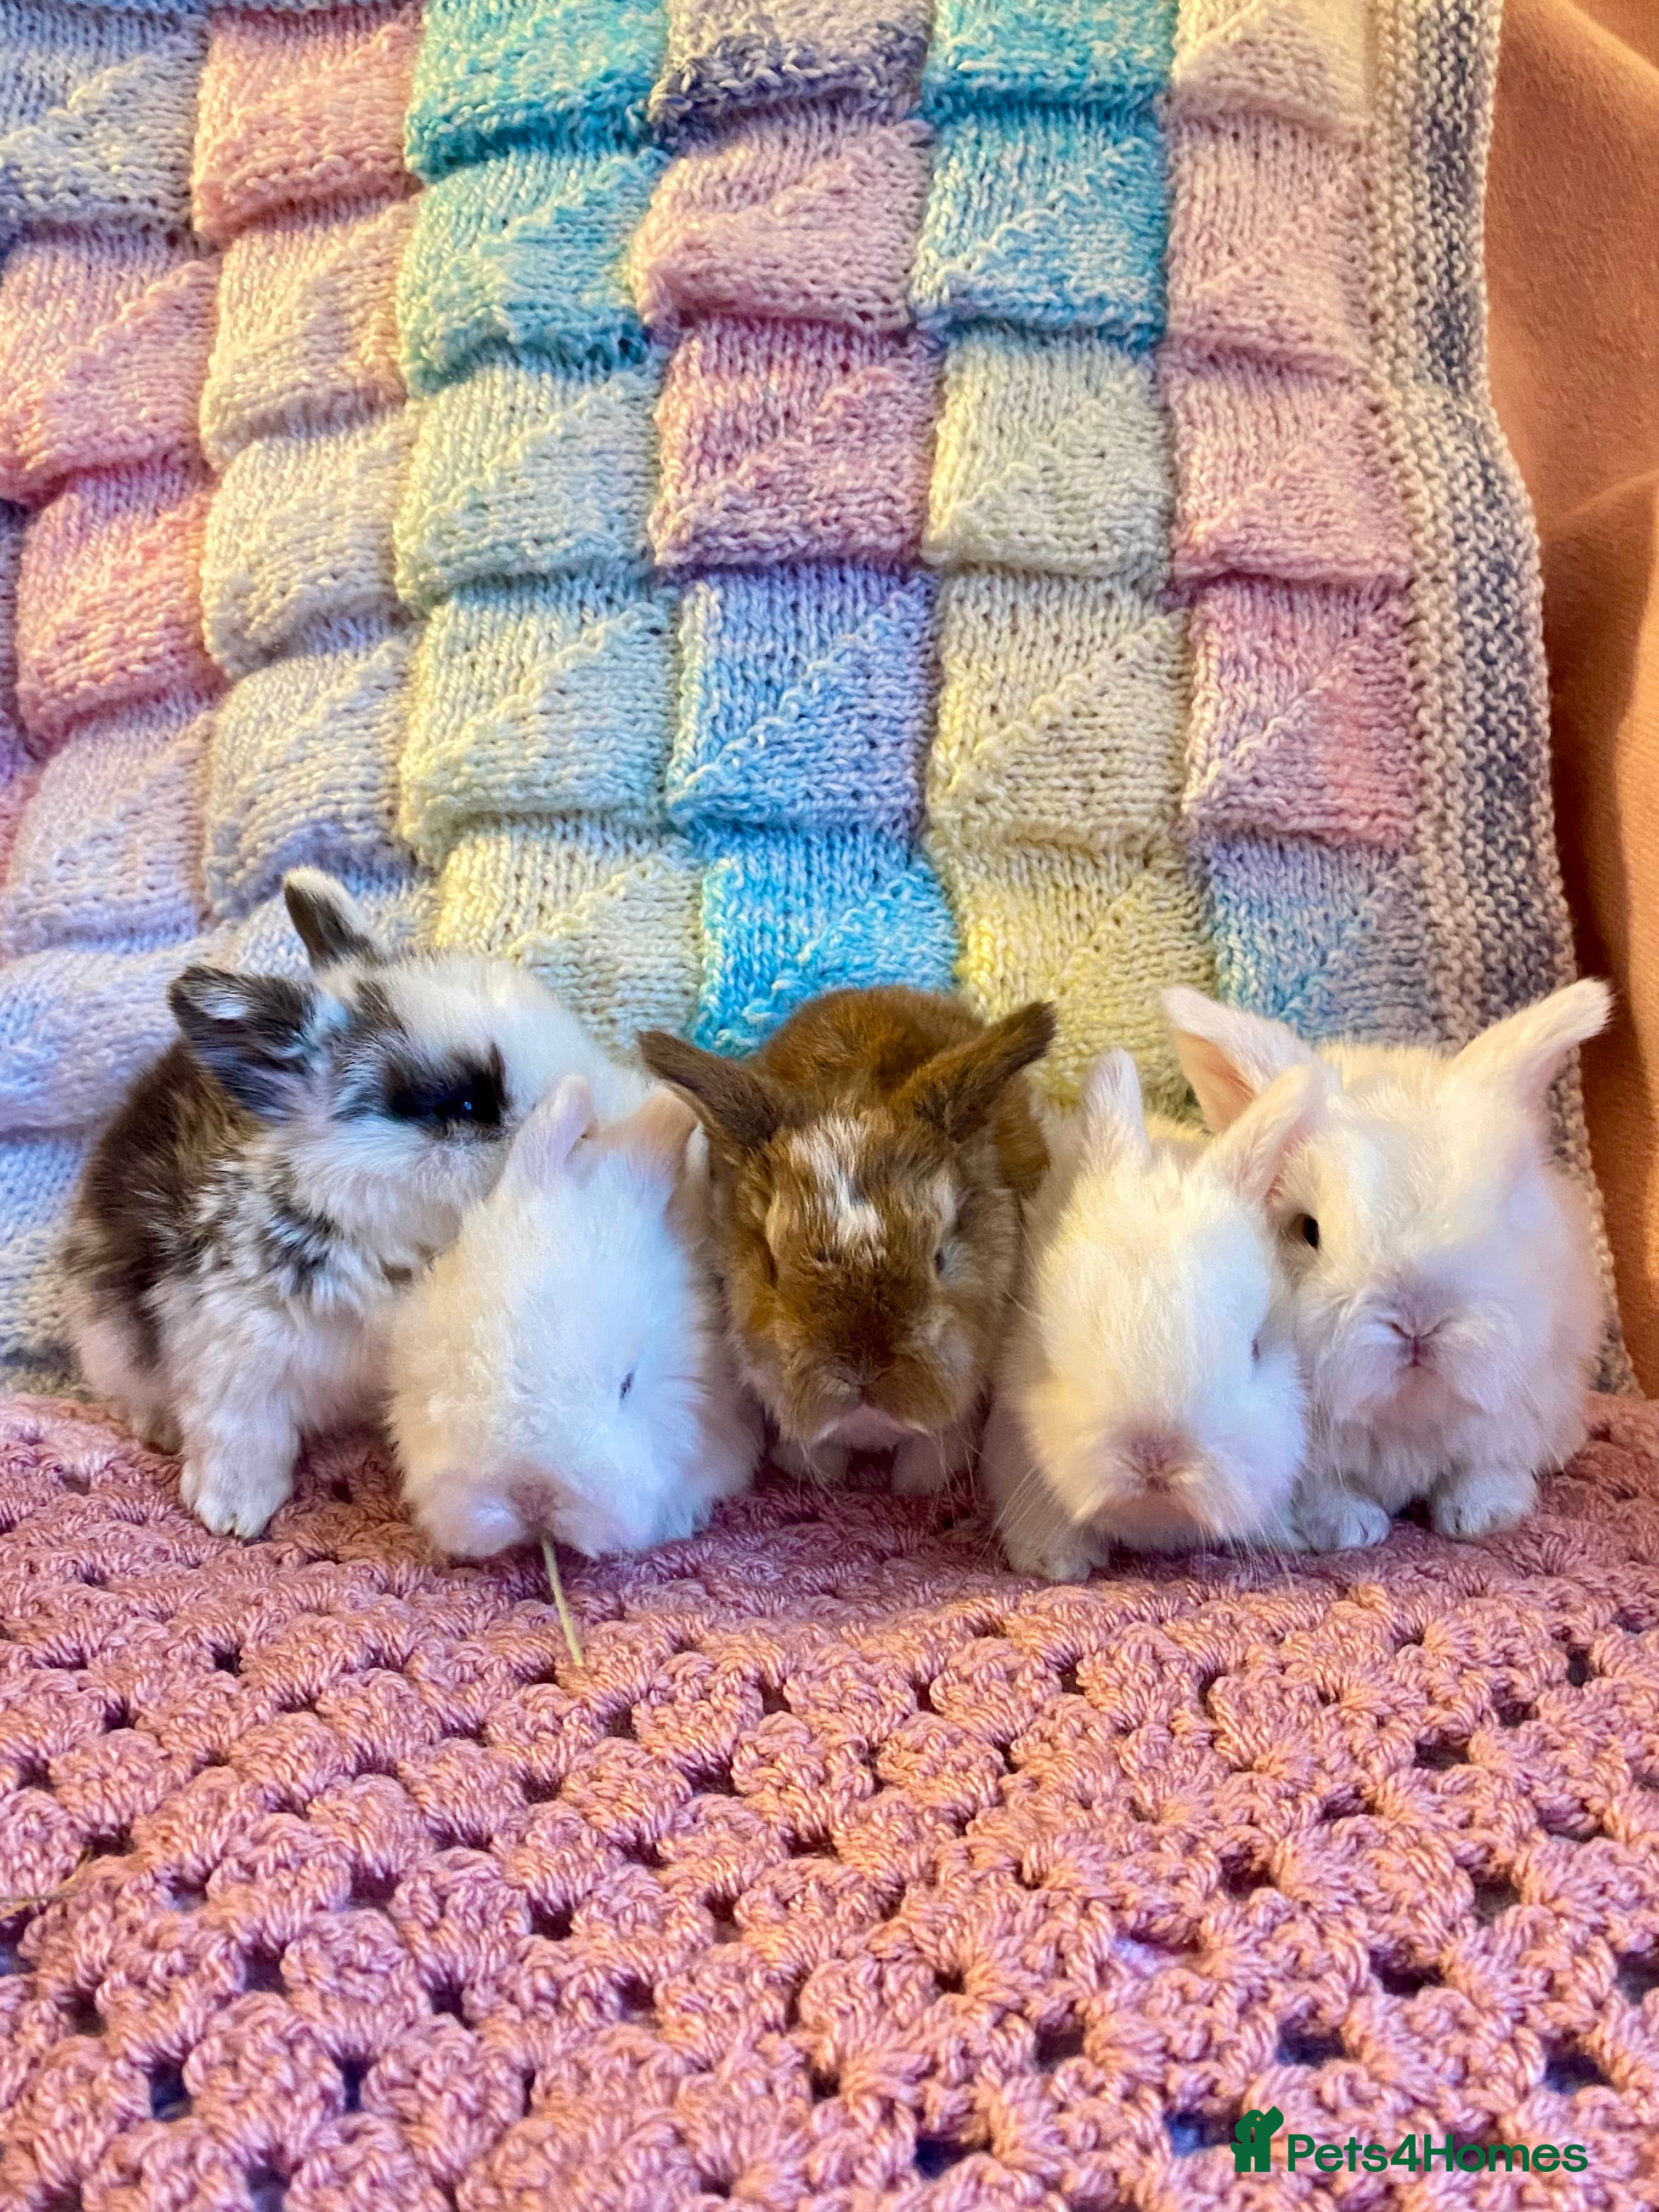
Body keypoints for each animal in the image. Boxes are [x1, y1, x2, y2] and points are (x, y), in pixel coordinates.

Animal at [64, 869, 651, 1540]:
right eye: (469, 1105)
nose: (613, 1106)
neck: (371, 1227)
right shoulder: (232, 1356)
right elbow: (241, 1437)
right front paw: (233, 1515)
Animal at [1162, 978, 1613, 1549]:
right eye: (1308, 1230)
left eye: (1502, 1214)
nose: (1419, 1318)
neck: (1408, 1419)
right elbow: (1326, 1493)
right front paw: (1351, 1530)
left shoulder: (1517, 1415)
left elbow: (1486, 1467)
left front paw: (1481, 1517)